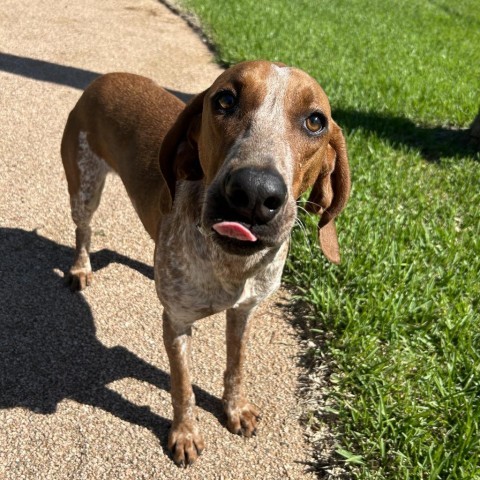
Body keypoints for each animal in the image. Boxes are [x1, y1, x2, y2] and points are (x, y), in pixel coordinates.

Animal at [62, 60, 350, 464]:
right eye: (225, 100)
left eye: (315, 121)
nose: (254, 193)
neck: (231, 266)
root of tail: (105, 77)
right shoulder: (176, 324)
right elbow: (183, 387)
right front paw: (184, 434)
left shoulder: (244, 313)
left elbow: (236, 367)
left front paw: (235, 409)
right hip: (84, 189)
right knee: (83, 231)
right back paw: (80, 268)